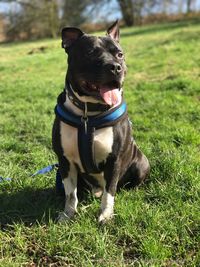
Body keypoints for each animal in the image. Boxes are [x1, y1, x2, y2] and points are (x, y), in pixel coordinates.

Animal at [52, 20, 149, 224]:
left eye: (120, 54)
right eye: (90, 53)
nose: (115, 67)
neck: (88, 113)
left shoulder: (114, 161)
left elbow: (109, 193)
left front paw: (105, 215)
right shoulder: (65, 162)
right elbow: (70, 194)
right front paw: (67, 214)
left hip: (141, 163)